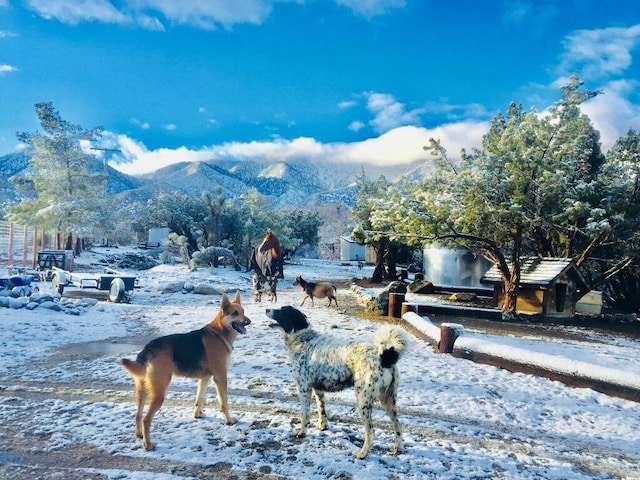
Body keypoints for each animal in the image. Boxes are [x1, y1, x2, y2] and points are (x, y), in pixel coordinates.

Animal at [120, 292, 250, 450]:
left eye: (243, 311)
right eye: (235, 313)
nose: (249, 321)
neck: (220, 332)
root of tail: (148, 348)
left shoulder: (205, 379)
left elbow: (199, 399)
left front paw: (197, 414)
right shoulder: (220, 377)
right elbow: (224, 403)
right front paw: (229, 420)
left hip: (142, 392)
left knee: (138, 414)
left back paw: (139, 435)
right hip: (159, 393)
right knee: (146, 419)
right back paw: (148, 444)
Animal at [264, 306, 410, 460]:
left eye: (281, 310)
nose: (267, 309)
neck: (304, 339)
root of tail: (384, 356)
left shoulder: (303, 389)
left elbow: (305, 414)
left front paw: (302, 432)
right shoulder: (318, 389)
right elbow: (322, 410)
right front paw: (323, 427)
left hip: (363, 400)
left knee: (371, 431)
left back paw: (362, 453)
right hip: (388, 400)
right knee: (398, 424)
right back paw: (398, 448)